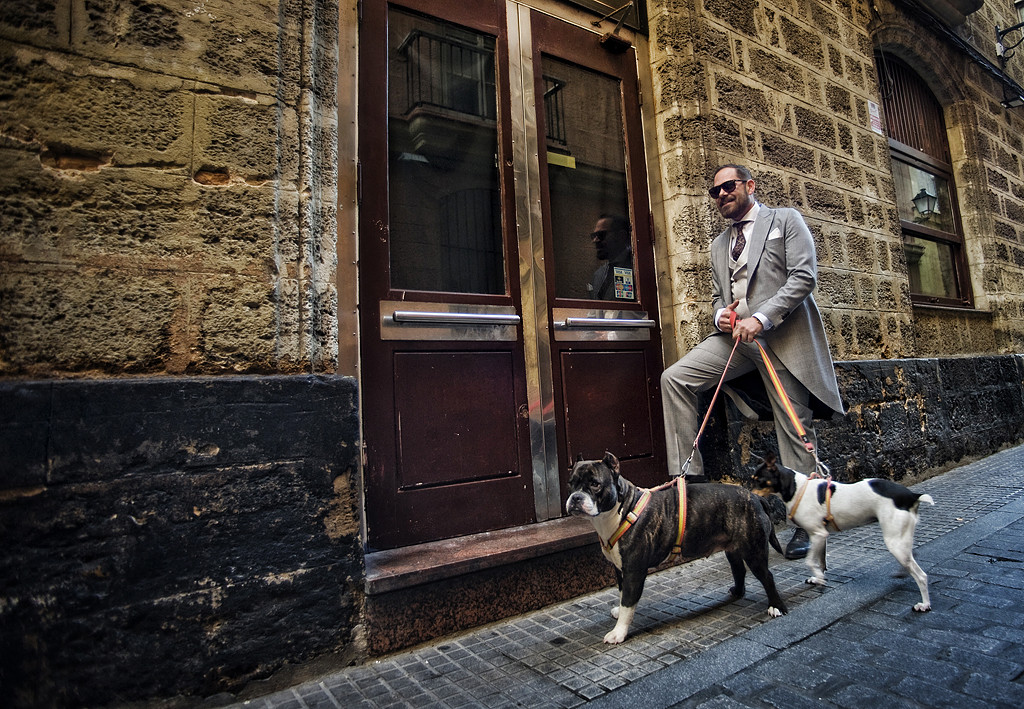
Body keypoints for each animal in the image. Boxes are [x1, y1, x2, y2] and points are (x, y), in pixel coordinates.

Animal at [565, 454, 786, 643]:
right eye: (571, 484)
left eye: (595, 484)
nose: (575, 497)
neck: (621, 510)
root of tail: (756, 498)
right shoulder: (620, 570)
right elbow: (622, 594)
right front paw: (619, 612)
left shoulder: (634, 572)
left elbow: (628, 601)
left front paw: (618, 632)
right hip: (732, 548)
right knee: (738, 569)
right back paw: (737, 592)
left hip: (754, 551)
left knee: (767, 577)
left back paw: (776, 607)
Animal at [749, 456, 933, 610]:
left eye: (759, 481)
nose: (749, 495)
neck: (797, 488)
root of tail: (911, 495)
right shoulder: (821, 536)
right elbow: (821, 562)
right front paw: (818, 578)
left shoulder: (818, 534)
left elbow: (809, 561)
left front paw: (818, 577)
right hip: (902, 539)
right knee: (912, 558)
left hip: (894, 543)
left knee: (922, 576)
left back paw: (924, 604)